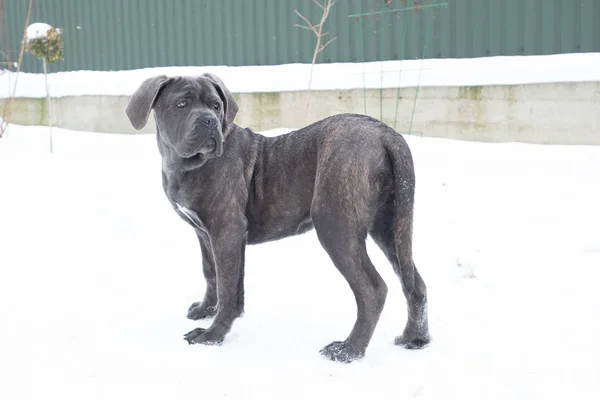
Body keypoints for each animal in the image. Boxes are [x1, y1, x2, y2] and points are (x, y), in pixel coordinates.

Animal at [124, 72, 428, 362]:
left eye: (216, 106)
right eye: (182, 104)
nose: (210, 121)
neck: (186, 165)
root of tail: (387, 135)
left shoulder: (225, 232)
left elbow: (226, 285)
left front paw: (212, 336)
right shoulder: (207, 234)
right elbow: (214, 275)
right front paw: (206, 310)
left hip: (336, 226)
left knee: (373, 289)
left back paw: (349, 350)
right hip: (389, 227)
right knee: (415, 283)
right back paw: (415, 339)